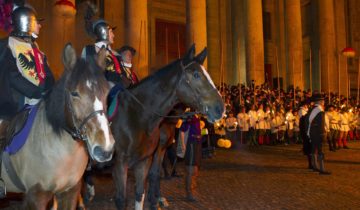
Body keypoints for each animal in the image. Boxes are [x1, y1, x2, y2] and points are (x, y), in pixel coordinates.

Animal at [111, 43, 224, 209]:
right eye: (196, 75)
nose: (220, 108)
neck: (137, 113)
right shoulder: (121, 162)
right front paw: (155, 199)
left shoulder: (157, 151)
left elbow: (154, 174)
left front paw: (156, 199)